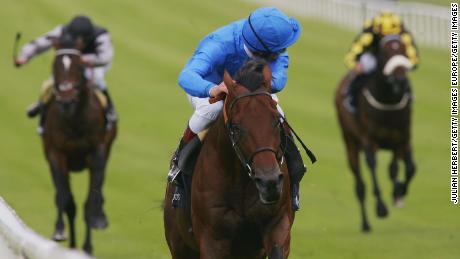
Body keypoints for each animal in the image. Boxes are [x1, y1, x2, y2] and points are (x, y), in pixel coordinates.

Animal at [41, 37, 117, 255]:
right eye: (55, 65)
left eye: (79, 66)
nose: (66, 97)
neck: (74, 121)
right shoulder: (56, 153)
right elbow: (65, 199)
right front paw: (59, 231)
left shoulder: (97, 153)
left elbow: (90, 202)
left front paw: (89, 245)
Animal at [334, 35, 416, 234]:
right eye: (385, 52)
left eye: (404, 49)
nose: (400, 77)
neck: (388, 102)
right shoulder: (368, 140)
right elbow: (372, 166)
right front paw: (381, 207)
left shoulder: (401, 138)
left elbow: (404, 168)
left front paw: (399, 192)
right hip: (350, 141)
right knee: (360, 185)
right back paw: (365, 224)